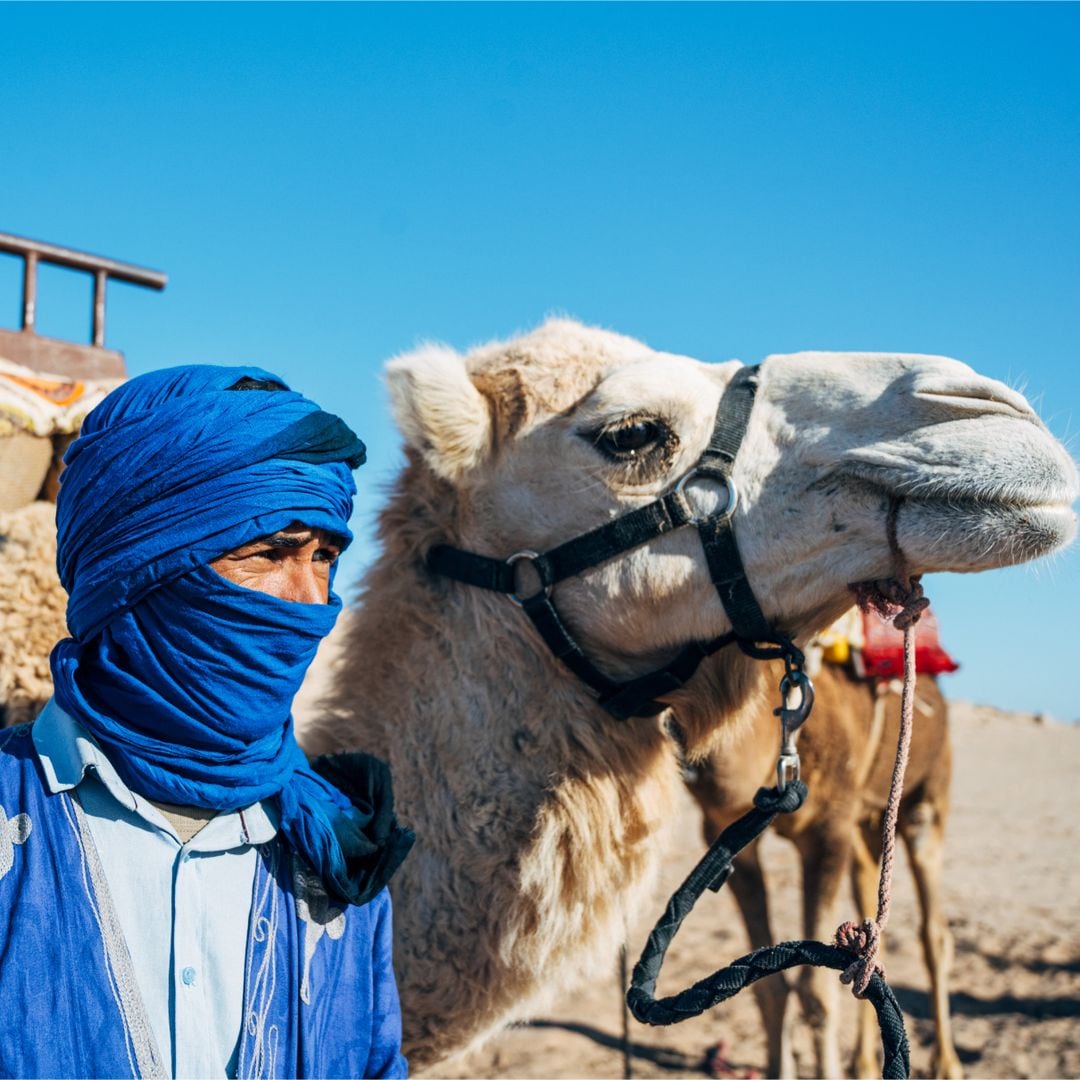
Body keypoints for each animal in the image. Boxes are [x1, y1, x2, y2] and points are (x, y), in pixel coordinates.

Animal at [686, 635, 959, 1075]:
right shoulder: (723, 831)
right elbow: (769, 984)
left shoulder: (829, 829)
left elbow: (816, 991)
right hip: (867, 825)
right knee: (870, 924)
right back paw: (863, 1064)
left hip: (927, 795)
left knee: (934, 934)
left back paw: (947, 1065)